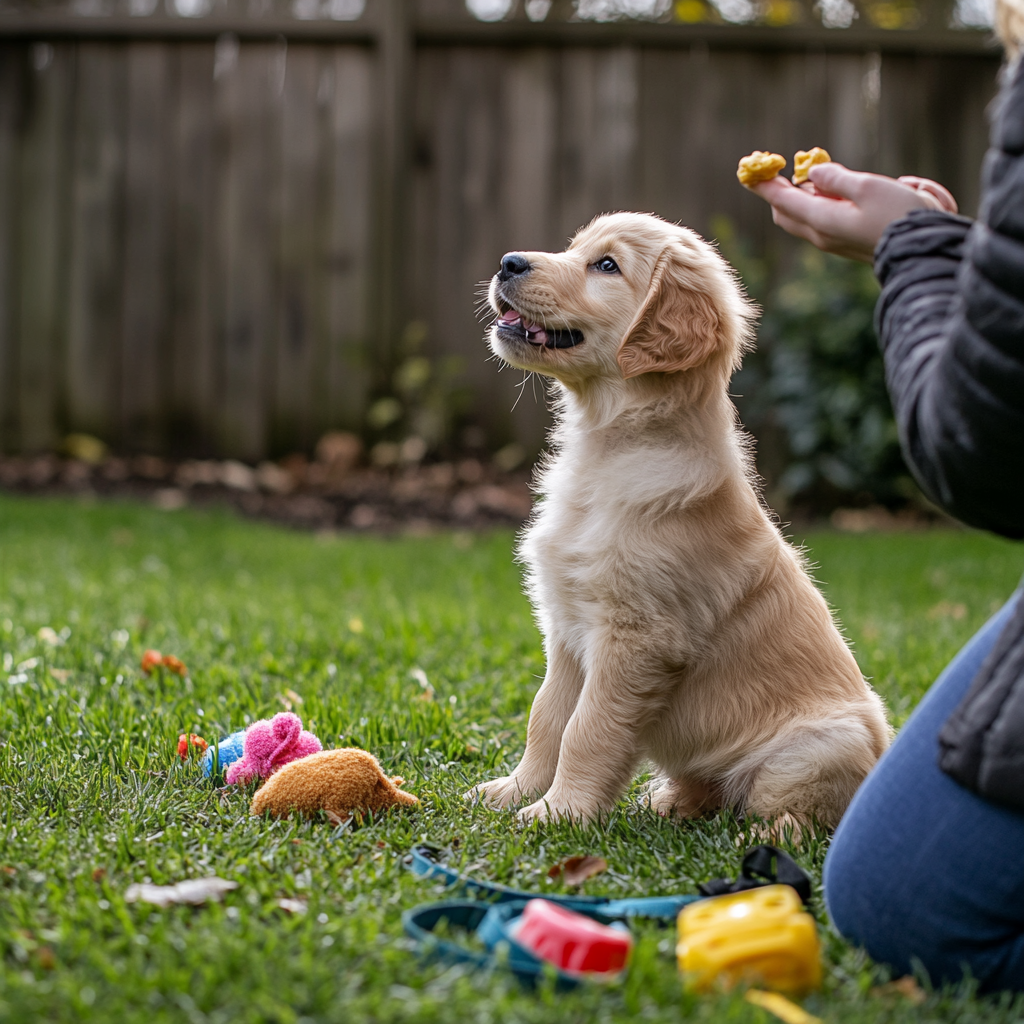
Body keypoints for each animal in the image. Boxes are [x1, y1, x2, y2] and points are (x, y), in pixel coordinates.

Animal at [468, 214, 892, 831]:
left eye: (607, 265)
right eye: (575, 249)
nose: (507, 262)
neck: (608, 448)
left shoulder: (637, 637)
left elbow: (586, 730)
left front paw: (558, 814)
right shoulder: (566, 625)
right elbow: (546, 717)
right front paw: (513, 792)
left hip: (821, 744)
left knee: (804, 813)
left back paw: (766, 835)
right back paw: (670, 801)